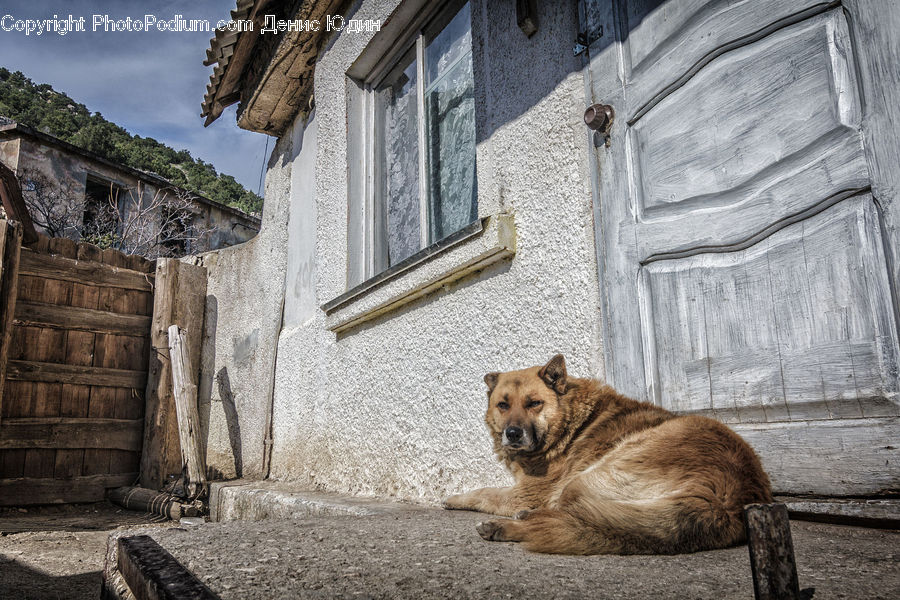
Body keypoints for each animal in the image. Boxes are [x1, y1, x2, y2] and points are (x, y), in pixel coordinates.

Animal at [442, 354, 772, 556]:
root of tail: (726, 498)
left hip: (587, 477)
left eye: (534, 403)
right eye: (503, 405)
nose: (512, 434)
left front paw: (454, 498)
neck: (569, 422)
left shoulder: (528, 492)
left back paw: (505, 526)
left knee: (570, 517)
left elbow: (484, 492)